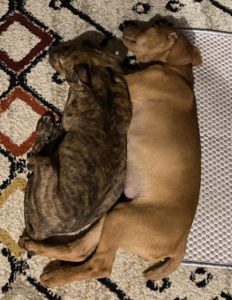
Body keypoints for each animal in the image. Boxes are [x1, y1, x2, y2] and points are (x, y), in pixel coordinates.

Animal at [22, 56, 131, 241]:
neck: (104, 97)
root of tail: (43, 231)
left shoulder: (70, 111)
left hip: (46, 165)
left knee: (32, 158)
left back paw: (45, 129)